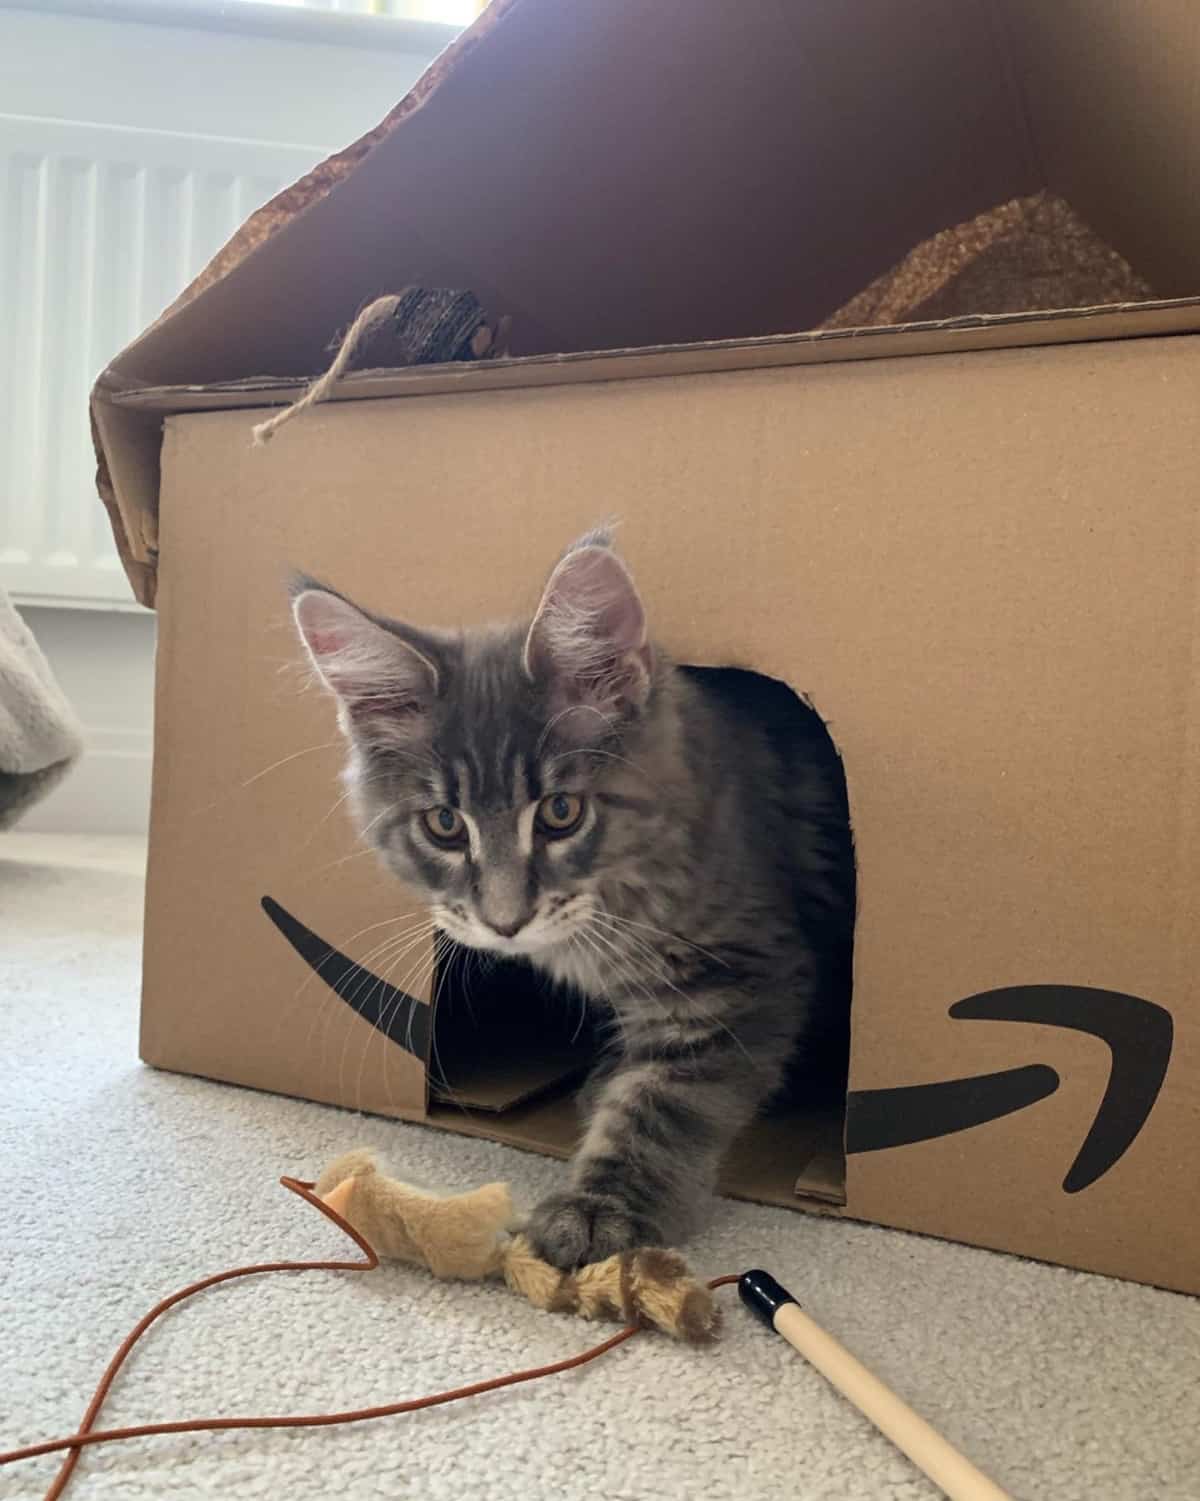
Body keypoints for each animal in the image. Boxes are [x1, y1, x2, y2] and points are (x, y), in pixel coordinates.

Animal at [292, 528, 853, 1266]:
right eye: (444, 825)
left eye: (561, 812)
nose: (506, 922)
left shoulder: (744, 975)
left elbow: (660, 1104)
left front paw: (597, 1208)